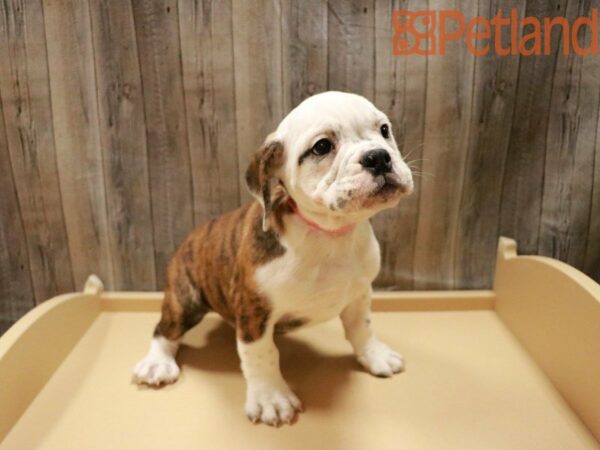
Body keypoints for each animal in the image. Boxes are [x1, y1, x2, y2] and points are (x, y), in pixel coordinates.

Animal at [132, 90, 412, 426]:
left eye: (384, 130)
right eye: (322, 146)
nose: (378, 157)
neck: (330, 234)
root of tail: (190, 238)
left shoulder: (359, 294)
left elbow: (362, 327)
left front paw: (374, 355)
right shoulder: (255, 312)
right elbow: (262, 356)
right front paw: (271, 398)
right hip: (185, 300)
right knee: (165, 330)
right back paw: (157, 363)